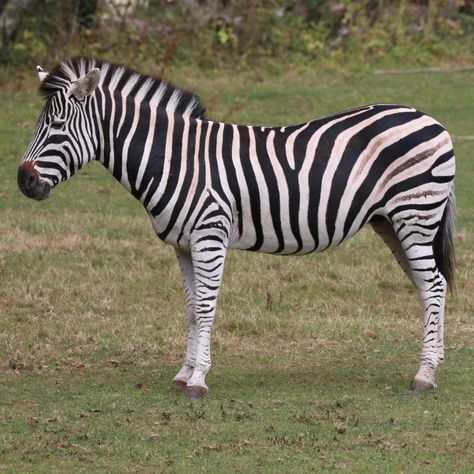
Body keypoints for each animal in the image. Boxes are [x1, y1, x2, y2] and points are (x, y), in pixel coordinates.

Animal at [19, 58, 456, 400]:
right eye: (40, 124)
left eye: (57, 126)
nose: (24, 181)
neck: (176, 159)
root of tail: (430, 118)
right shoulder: (182, 245)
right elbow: (191, 309)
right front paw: (183, 374)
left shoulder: (209, 236)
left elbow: (206, 307)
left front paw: (198, 380)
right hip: (392, 222)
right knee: (428, 285)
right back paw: (432, 364)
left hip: (416, 215)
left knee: (434, 285)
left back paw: (424, 375)